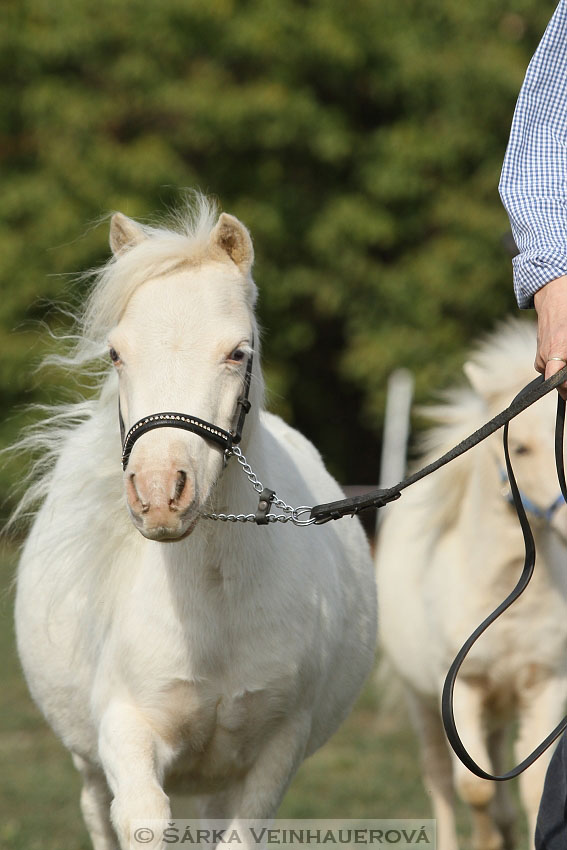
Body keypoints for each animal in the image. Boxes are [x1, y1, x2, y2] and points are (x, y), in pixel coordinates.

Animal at [14, 197, 378, 848]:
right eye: (116, 354)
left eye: (237, 352)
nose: (160, 496)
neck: (212, 597)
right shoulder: (126, 731)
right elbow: (142, 819)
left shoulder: (273, 754)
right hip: (89, 767)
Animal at [378, 318, 567, 848]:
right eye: (519, 447)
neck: (507, 594)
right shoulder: (460, 690)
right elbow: (474, 791)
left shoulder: (546, 685)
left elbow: (531, 789)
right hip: (424, 704)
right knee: (441, 781)